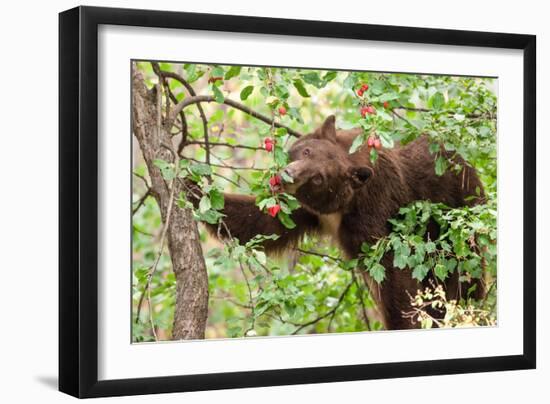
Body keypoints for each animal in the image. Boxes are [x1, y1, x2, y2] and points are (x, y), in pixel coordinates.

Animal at [195, 115, 488, 330]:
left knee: (462, 278)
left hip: (456, 221)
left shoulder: (374, 209)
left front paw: (402, 322)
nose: (288, 176)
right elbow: (264, 224)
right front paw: (194, 188)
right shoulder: (306, 210)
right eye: (306, 151)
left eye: (319, 178)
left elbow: (392, 271)